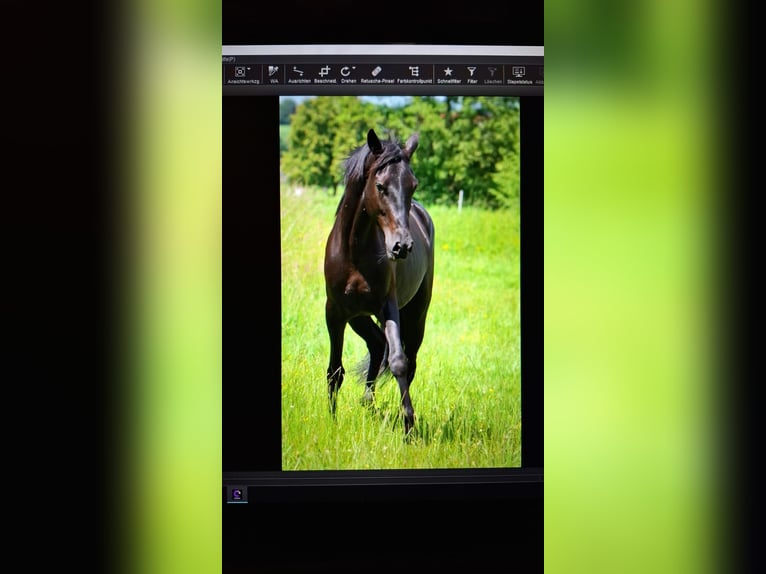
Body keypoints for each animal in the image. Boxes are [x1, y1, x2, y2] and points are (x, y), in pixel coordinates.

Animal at [323, 128, 435, 436]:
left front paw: (409, 424)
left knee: (409, 360)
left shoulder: (388, 307)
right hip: (358, 317)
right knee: (375, 344)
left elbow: (398, 362)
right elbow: (335, 370)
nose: (402, 246)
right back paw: (367, 403)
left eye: (413, 185)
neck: (354, 251)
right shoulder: (335, 312)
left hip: (416, 314)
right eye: (381, 186)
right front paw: (332, 421)